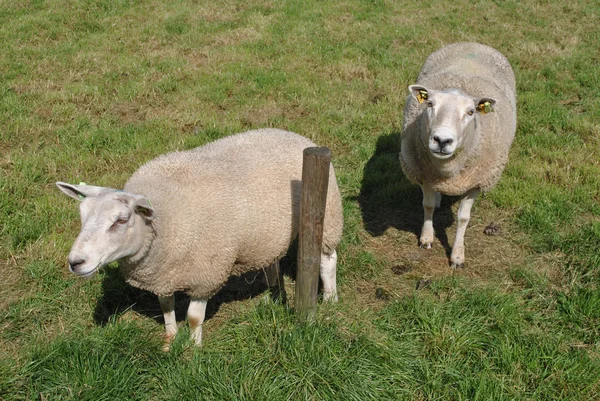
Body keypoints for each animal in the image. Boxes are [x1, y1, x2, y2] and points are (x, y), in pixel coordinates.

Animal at [59, 127, 346, 346]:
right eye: (82, 215)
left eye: (120, 220)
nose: (76, 262)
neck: (164, 222)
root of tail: (294, 135)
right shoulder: (165, 272)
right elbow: (165, 305)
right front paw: (170, 337)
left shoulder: (205, 272)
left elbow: (194, 317)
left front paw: (194, 349)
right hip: (268, 231)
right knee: (272, 258)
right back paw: (273, 290)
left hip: (328, 215)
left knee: (327, 260)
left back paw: (331, 298)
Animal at [398, 42, 516, 268]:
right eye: (430, 104)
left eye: (471, 112)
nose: (442, 140)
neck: (447, 172)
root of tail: (473, 43)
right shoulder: (422, 173)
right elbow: (427, 205)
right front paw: (426, 238)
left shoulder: (476, 182)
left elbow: (463, 218)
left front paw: (457, 255)